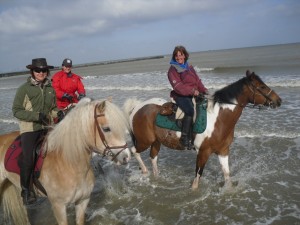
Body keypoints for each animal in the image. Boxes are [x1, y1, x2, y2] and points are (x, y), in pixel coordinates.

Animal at [122, 71, 282, 190]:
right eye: (261, 87)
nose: (279, 100)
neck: (218, 118)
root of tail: (137, 107)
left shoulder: (223, 151)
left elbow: (227, 174)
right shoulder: (203, 152)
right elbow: (197, 177)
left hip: (156, 142)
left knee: (153, 157)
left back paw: (157, 177)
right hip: (145, 140)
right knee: (134, 151)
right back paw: (145, 171)